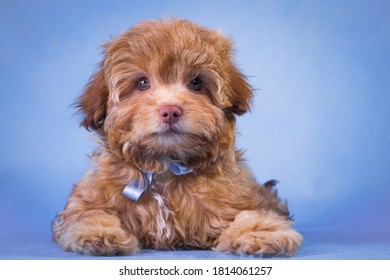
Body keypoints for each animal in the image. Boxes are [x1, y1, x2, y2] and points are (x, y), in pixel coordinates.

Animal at [51, 18, 302, 258]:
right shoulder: (89, 198)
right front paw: (100, 233)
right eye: (142, 83)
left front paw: (261, 233)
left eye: (196, 83)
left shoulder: (236, 196)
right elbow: (90, 214)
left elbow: (249, 214)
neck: (165, 164)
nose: (170, 111)